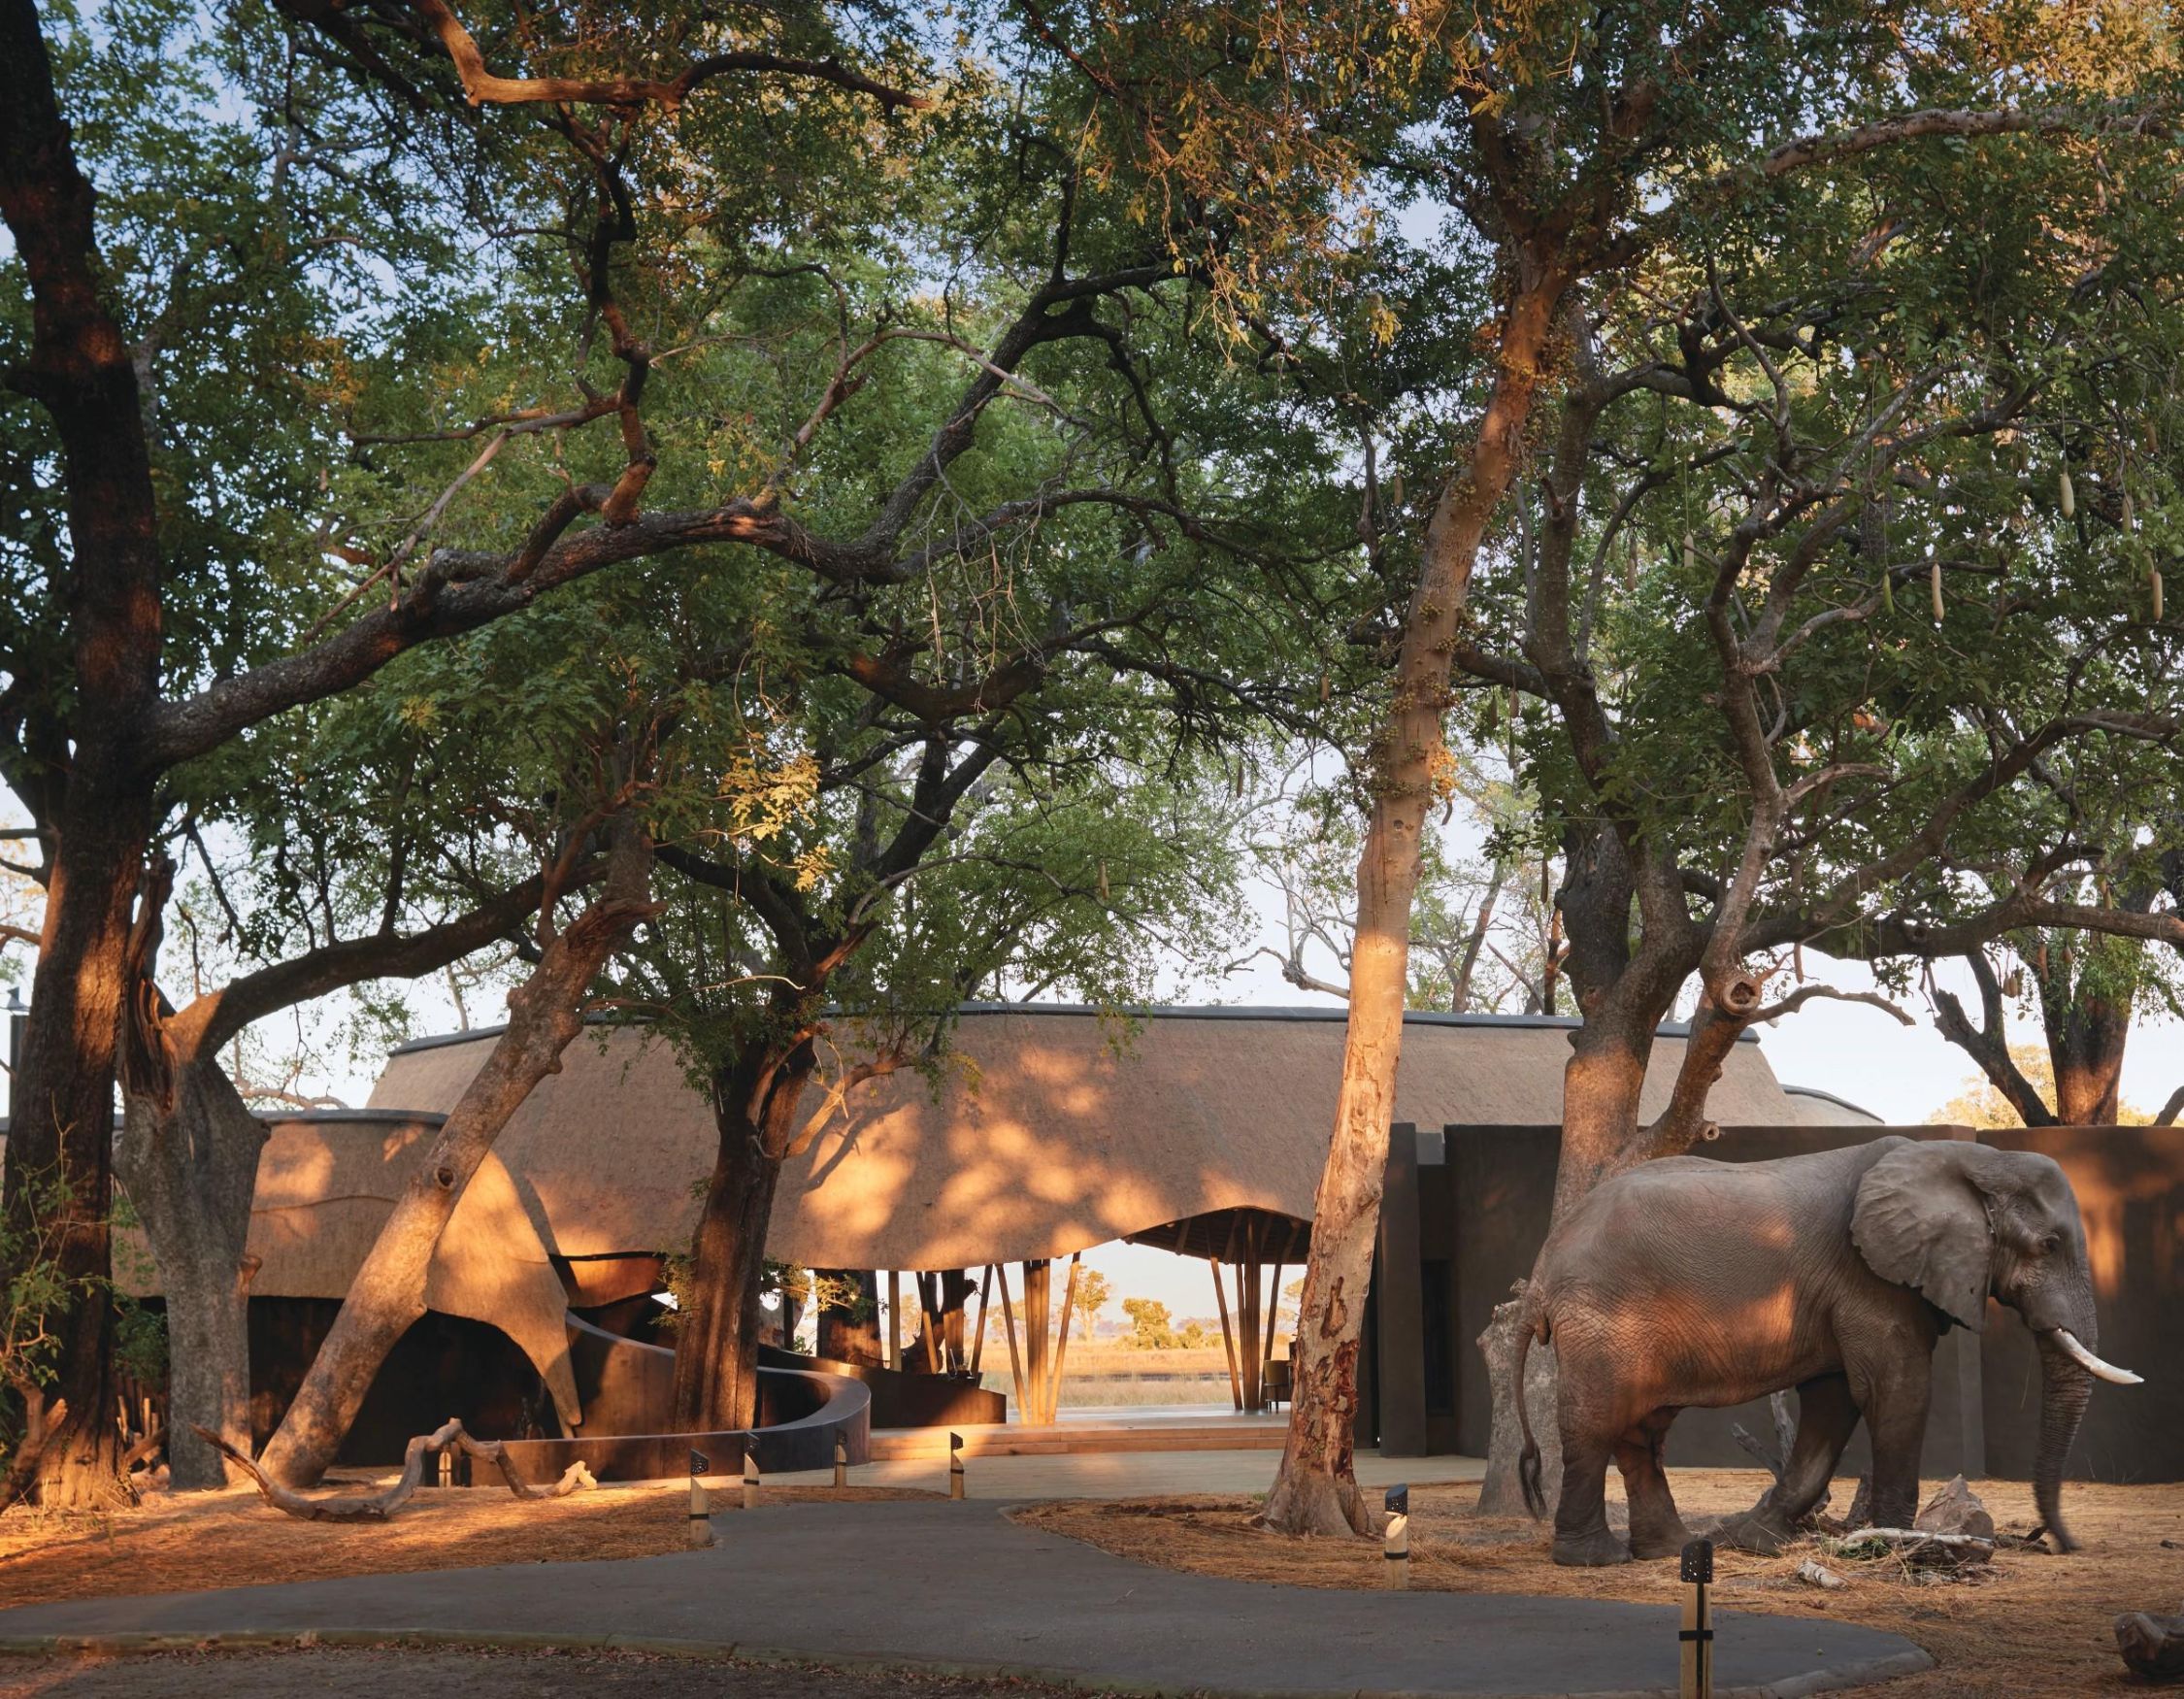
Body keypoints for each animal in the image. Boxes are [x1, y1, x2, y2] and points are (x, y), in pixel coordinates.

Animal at [1512, 1135, 2140, 1567]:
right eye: (2049, 1245)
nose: (2065, 1545)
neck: (1970, 1158)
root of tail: (1540, 1273)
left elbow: (1833, 1400)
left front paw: (1755, 1540)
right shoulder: (1869, 1276)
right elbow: (1894, 1390)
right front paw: (1897, 1544)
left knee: (1642, 1431)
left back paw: (1676, 1549)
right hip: (1601, 1318)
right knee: (1596, 1422)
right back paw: (1593, 1558)